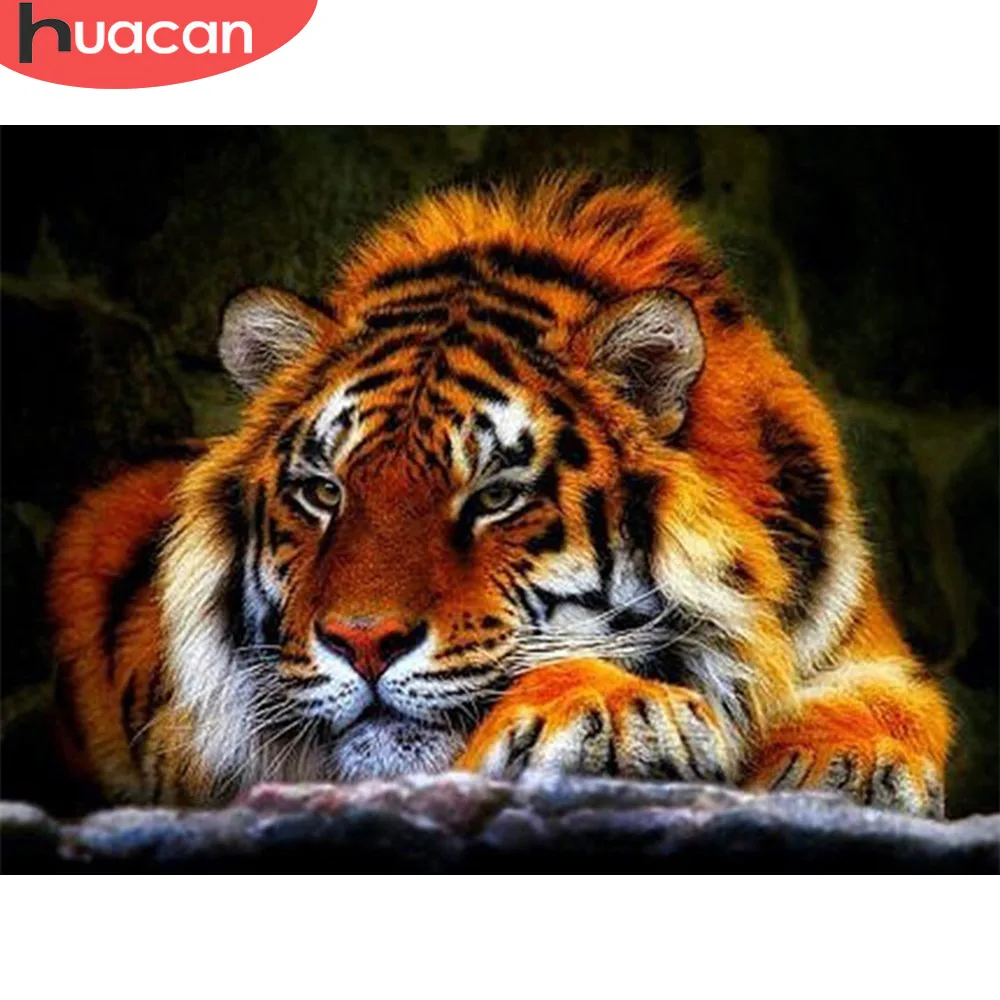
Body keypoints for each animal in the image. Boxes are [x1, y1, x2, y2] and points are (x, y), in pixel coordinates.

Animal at [47, 174, 953, 814]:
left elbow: (892, 701)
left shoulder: (862, 645)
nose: (362, 643)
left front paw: (844, 762)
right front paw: (618, 710)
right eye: (323, 492)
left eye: (494, 497)